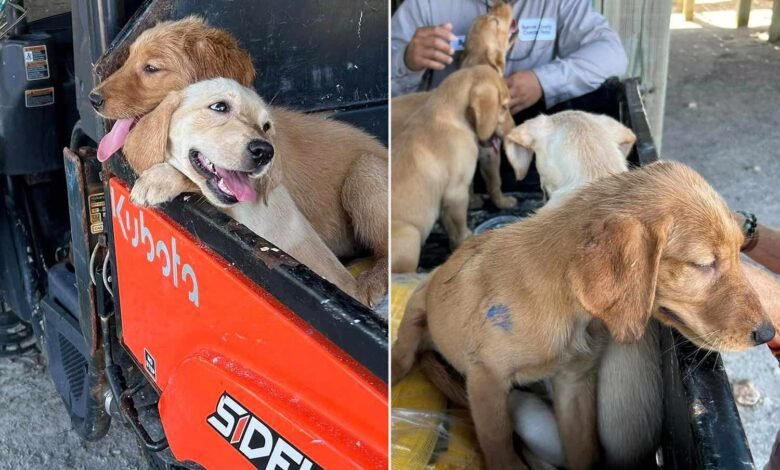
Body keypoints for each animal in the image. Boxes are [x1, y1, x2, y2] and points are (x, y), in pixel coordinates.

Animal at [390, 3, 516, 209]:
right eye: (495, 21)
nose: (502, 3)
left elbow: (470, 182)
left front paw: (472, 201)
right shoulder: (489, 150)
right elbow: (495, 180)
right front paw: (502, 201)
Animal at [394, 65, 516, 272]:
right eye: (504, 107)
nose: (514, 131)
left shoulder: (445, 199)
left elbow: (449, 225)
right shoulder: (456, 193)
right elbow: (459, 226)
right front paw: (465, 240)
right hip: (411, 235)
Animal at [396, 162, 772, 470]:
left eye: (740, 250)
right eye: (704, 264)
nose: (767, 334)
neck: (568, 310)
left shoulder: (574, 384)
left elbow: (583, 451)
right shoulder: (486, 377)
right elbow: (498, 443)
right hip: (419, 303)